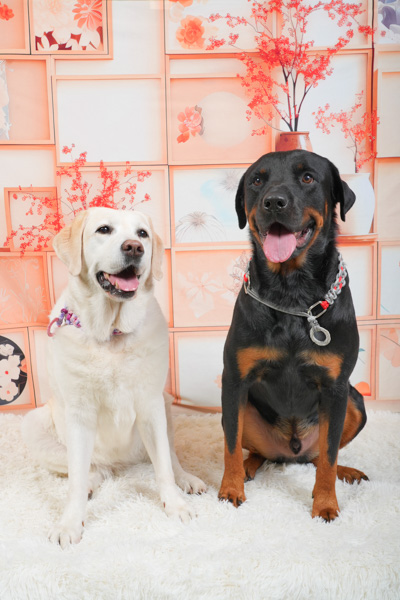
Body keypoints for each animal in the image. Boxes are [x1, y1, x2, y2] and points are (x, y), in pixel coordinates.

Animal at [22, 207, 206, 548]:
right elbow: (76, 478)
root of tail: (120, 465)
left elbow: (163, 467)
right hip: (34, 424)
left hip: (165, 406)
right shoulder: (79, 413)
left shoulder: (150, 403)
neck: (111, 333)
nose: (134, 247)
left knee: (170, 458)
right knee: (88, 470)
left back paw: (185, 479)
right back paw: (93, 482)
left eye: (142, 233)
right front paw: (70, 524)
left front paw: (174, 505)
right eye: (104, 230)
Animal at [218, 150, 368, 521]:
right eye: (257, 180)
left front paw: (325, 503)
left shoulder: (335, 388)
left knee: (318, 457)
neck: (291, 294)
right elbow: (230, 443)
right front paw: (230, 489)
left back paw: (345, 472)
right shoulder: (234, 381)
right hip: (244, 409)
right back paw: (249, 467)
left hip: (355, 402)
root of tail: (291, 453)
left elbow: (329, 455)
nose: (274, 201)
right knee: (252, 447)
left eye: (308, 177)